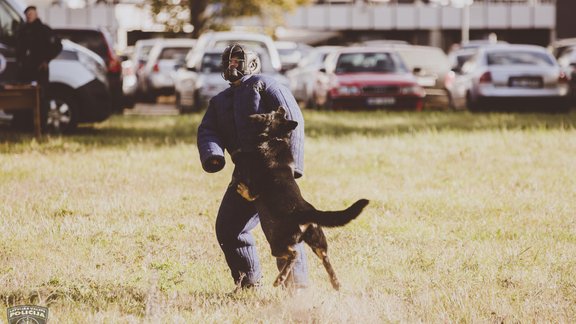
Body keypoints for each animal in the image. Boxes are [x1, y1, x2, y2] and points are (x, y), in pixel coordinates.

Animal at [234, 107, 368, 292]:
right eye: (279, 113)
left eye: (271, 114)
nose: (282, 107)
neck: (275, 138)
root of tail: (306, 213)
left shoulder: (256, 185)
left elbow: (249, 187)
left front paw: (241, 185)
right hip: (318, 241)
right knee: (325, 258)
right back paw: (336, 283)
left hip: (277, 243)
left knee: (294, 255)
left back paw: (279, 279)